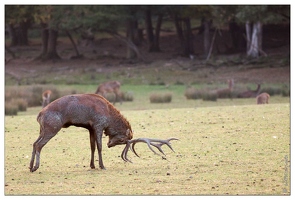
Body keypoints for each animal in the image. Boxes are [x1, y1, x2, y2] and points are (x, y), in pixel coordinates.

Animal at [30, 94, 178, 172]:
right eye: (122, 140)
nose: (110, 144)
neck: (108, 115)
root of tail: (39, 115)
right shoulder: (98, 124)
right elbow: (99, 147)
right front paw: (102, 165)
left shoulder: (90, 128)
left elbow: (92, 146)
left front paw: (92, 165)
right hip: (52, 127)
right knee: (39, 145)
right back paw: (35, 167)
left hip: (42, 129)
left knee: (34, 143)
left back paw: (30, 166)